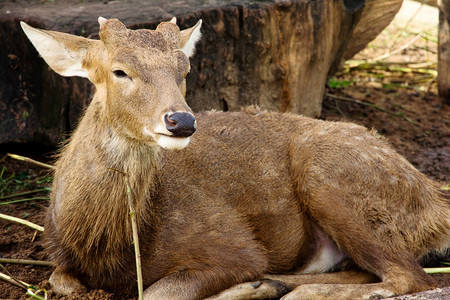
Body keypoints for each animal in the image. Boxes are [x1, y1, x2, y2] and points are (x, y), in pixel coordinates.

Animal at [21, 17, 450, 300]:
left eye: (184, 70)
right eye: (119, 71)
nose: (181, 120)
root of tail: (434, 200)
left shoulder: (231, 243)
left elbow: (157, 293)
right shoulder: (57, 255)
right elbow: (62, 282)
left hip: (327, 173)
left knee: (410, 277)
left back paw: (281, 289)